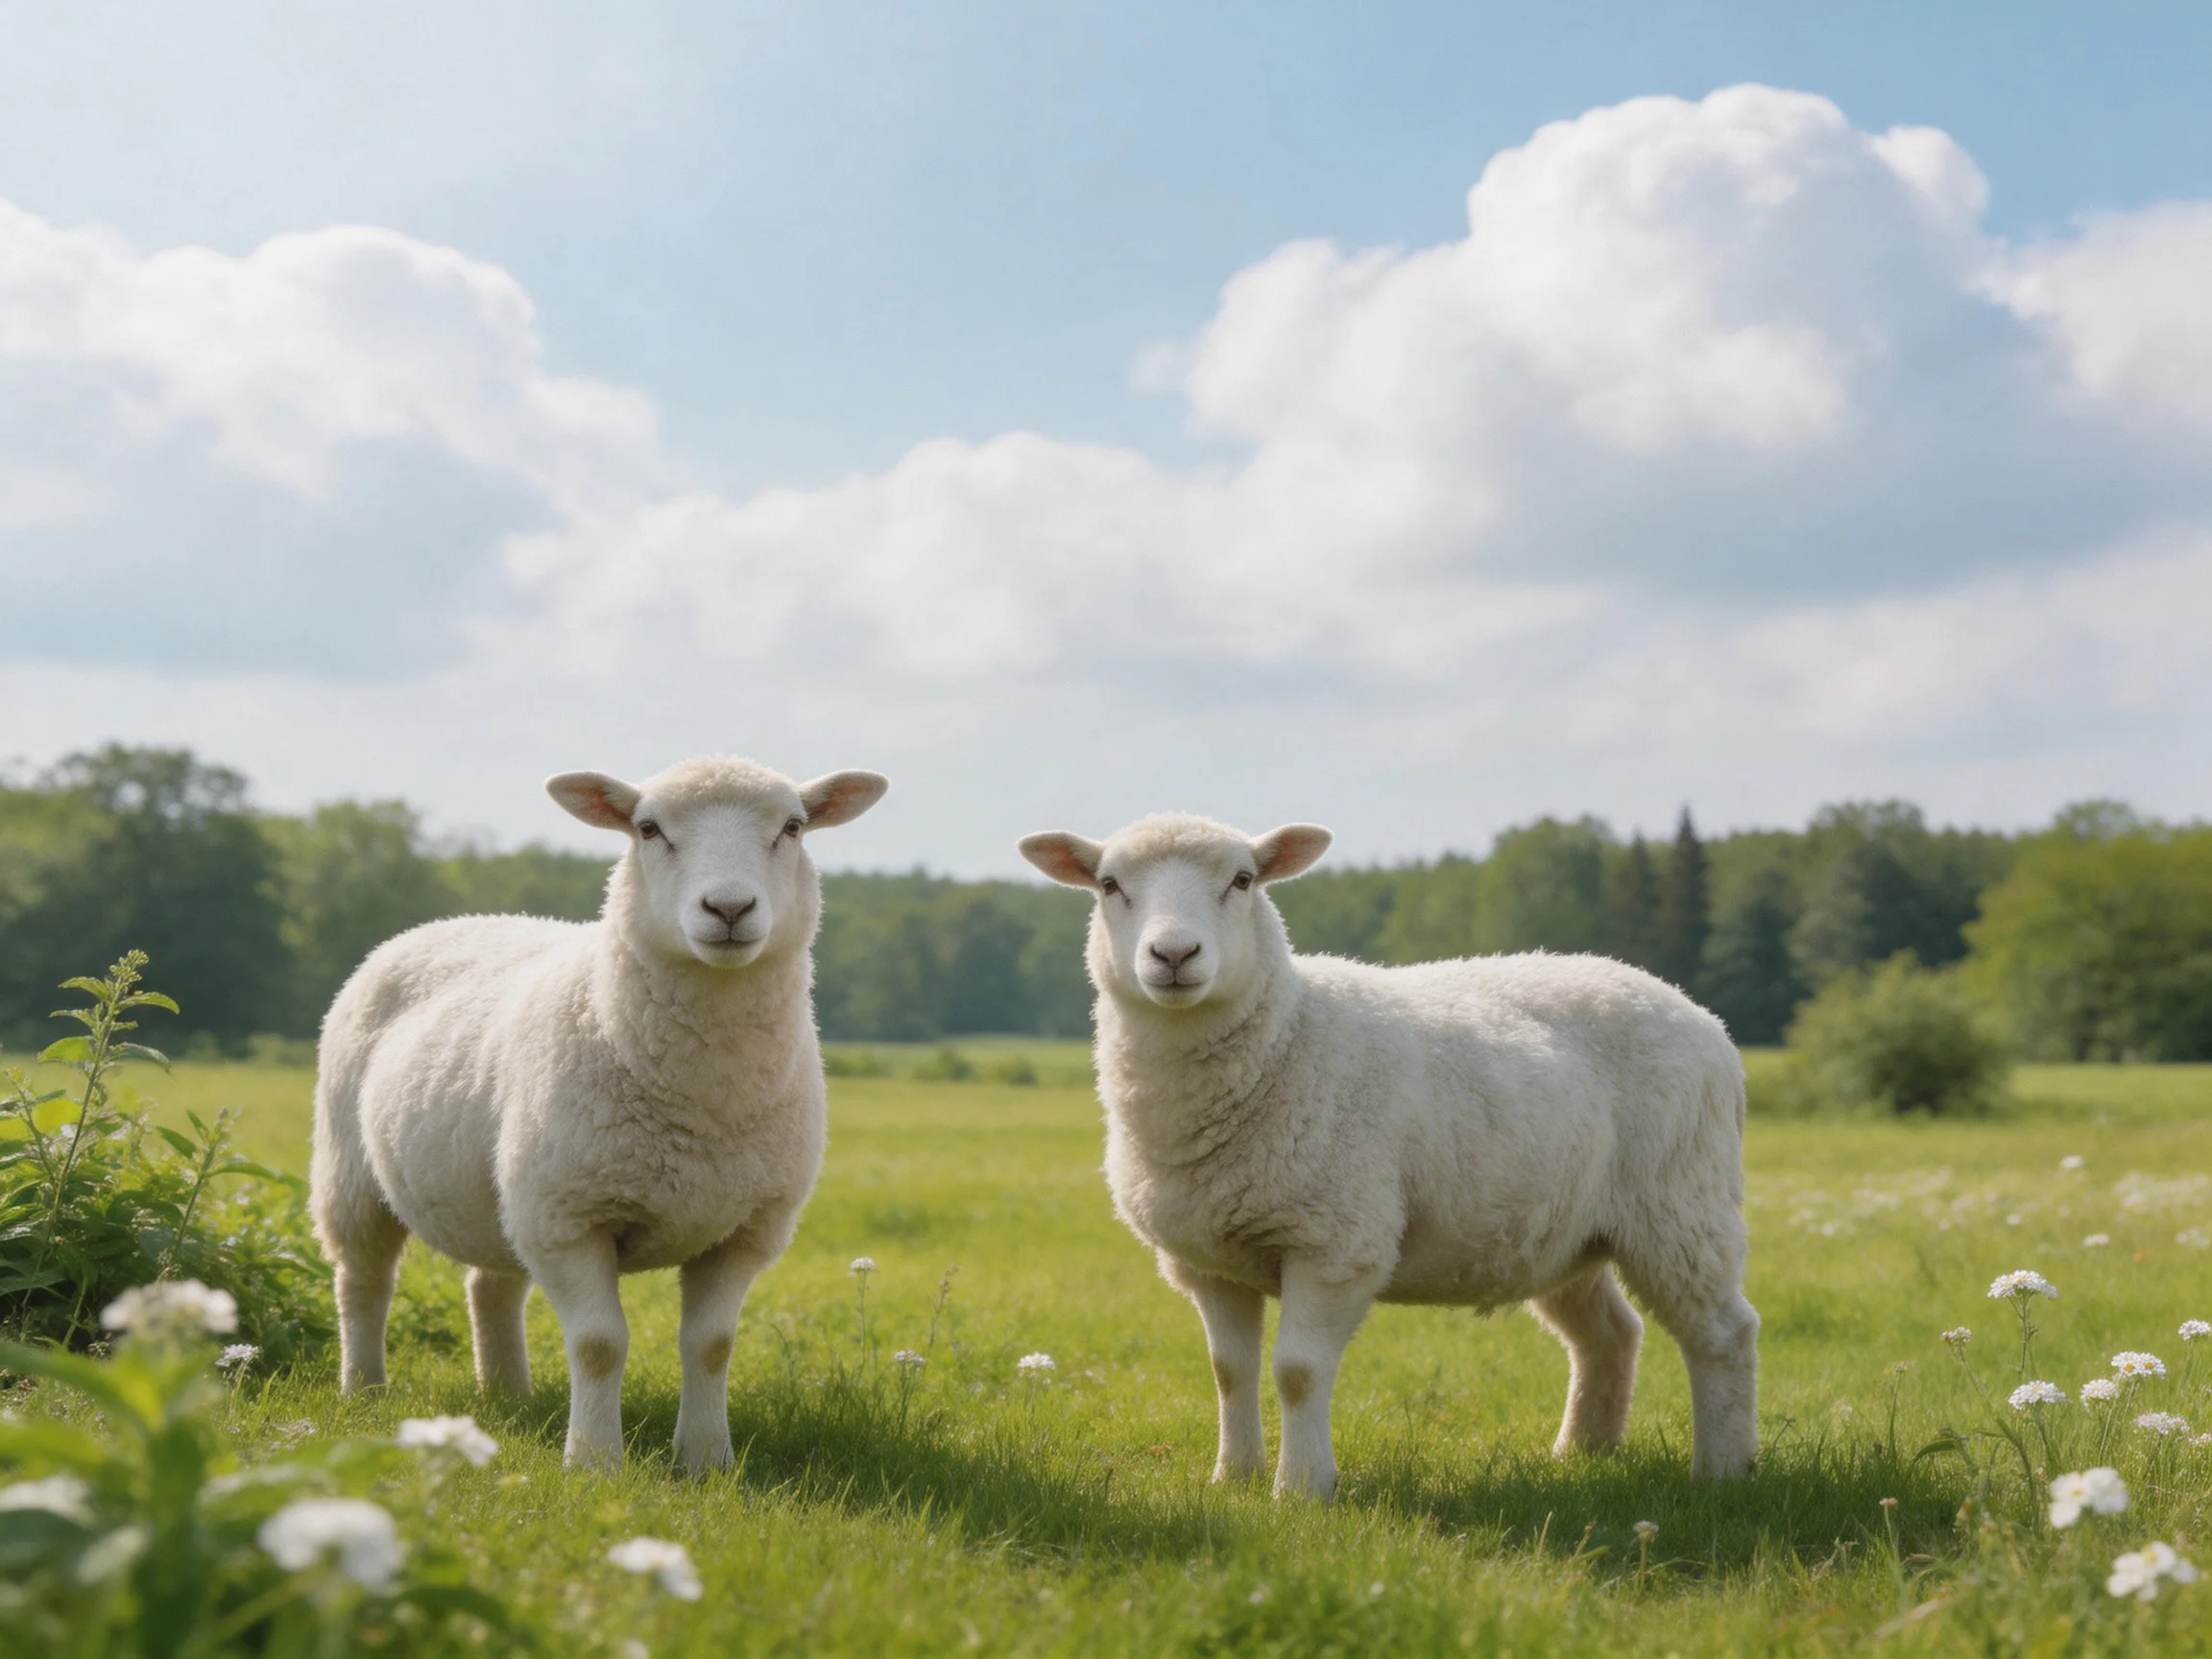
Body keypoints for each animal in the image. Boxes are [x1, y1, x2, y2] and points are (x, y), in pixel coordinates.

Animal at [310, 755, 887, 1471]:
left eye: (793, 827)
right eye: (648, 828)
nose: (728, 908)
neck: (703, 1102)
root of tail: (449, 920)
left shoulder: (745, 1229)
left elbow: (712, 1345)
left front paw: (706, 1460)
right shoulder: (569, 1218)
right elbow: (599, 1345)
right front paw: (593, 1462)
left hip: (505, 1195)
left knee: (490, 1285)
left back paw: (509, 1394)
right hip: (353, 1173)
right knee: (363, 1282)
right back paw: (363, 1389)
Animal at [1018, 812, 1759, 1497]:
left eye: (1243, 880)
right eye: (1110, 885)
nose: (1174, 954)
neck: (1286, 1036)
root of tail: (1700, 1015)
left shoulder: (1336, 1243)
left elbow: (1297, 1372)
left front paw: (1301, 1489)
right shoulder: (1208, 1260)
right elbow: (1230, 1372)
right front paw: (1233, 1478)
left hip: (1682, 1204)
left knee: (1724, 1332)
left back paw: (1724, 1471)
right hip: (1566, 1231)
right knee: (1609, 1334)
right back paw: (1583, 1453)